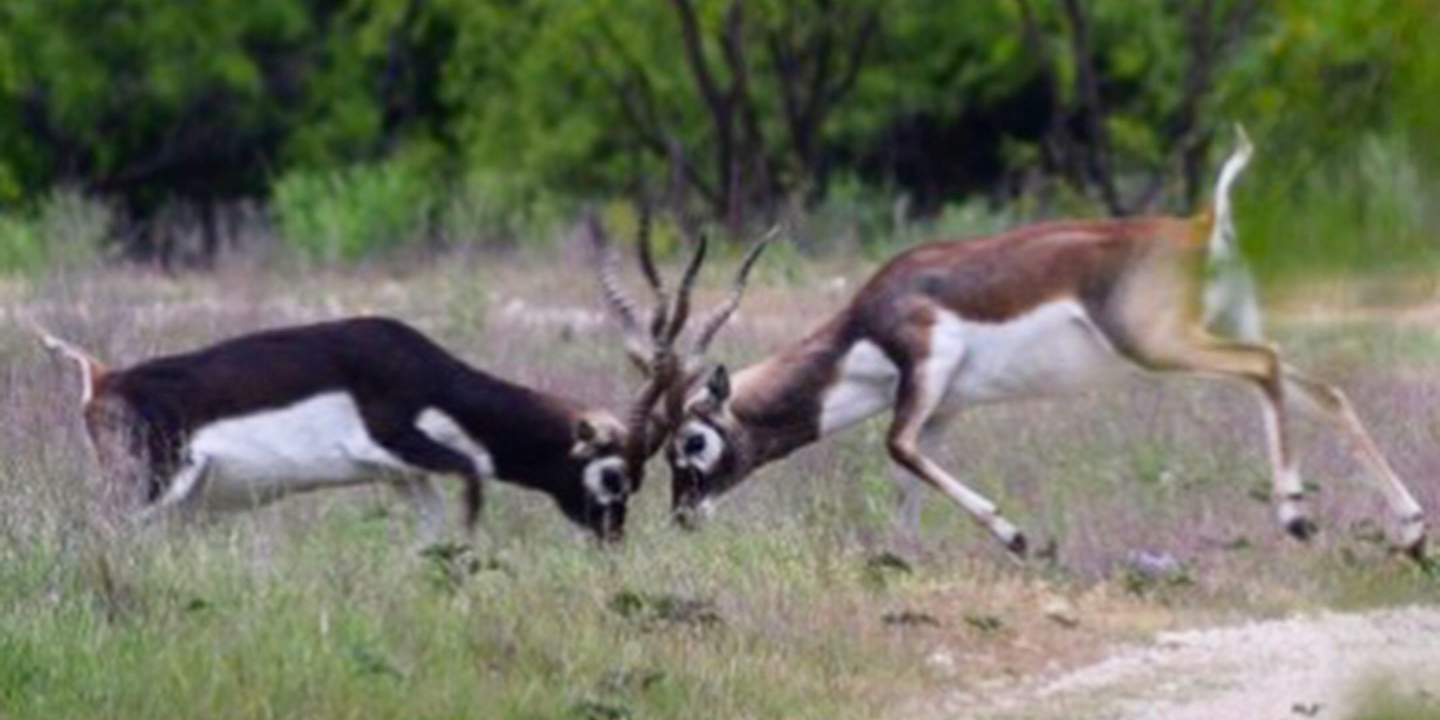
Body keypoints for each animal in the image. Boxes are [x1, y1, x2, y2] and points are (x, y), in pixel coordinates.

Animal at [39, 221, 720, 541]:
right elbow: (472, 491)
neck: (429, 381)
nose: (611, 539)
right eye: (612, 475)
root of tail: (101, 378)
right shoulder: (406, 445)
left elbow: (433, 535)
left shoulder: (405, 477)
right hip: (149, 492)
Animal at [653, 128, 1428, 555]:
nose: (682, 515)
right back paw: (1413, 527)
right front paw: (898, 562)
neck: (864, 329)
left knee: (1265, 368)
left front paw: (1016, 535)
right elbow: (906, 480)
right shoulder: (944, 405)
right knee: (1322, 388)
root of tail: (1202, 225)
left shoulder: (926, 366)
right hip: (1216, 329)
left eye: (691, 440)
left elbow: (896, 449)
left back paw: (1295, 515)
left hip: (1163, 344)